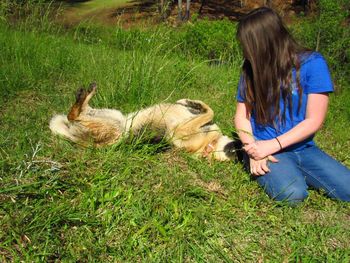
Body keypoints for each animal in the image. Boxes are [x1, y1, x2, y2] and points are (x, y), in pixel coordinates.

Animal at [49, 83, 241, 161]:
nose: (240, 143)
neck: (210, 145)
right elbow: (207, 109)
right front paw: (190, 102)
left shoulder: (179, 133)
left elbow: (210, 112)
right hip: (115, 115)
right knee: (81, 110)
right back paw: (87, 92)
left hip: (115, 129)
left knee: (74, 115)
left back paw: (82, 97)